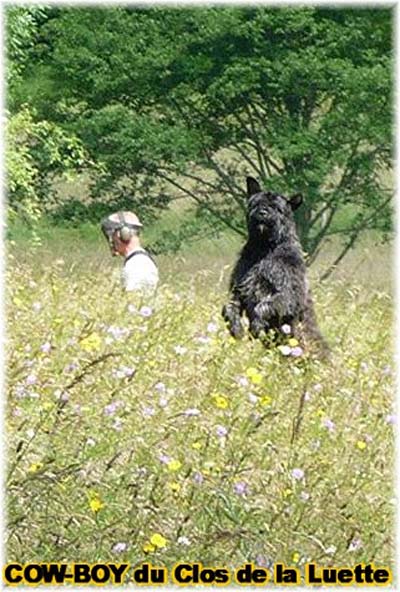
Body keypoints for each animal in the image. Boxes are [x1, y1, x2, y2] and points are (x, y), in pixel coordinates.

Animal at [222, 173, 328, 354]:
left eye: (276, 208)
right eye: (256, 203)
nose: (263, 212)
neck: (264, 248)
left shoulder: (287, 295)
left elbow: (263, 306)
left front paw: (257, 326)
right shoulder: (239, 290)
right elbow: (229, 307)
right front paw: (236, 327)